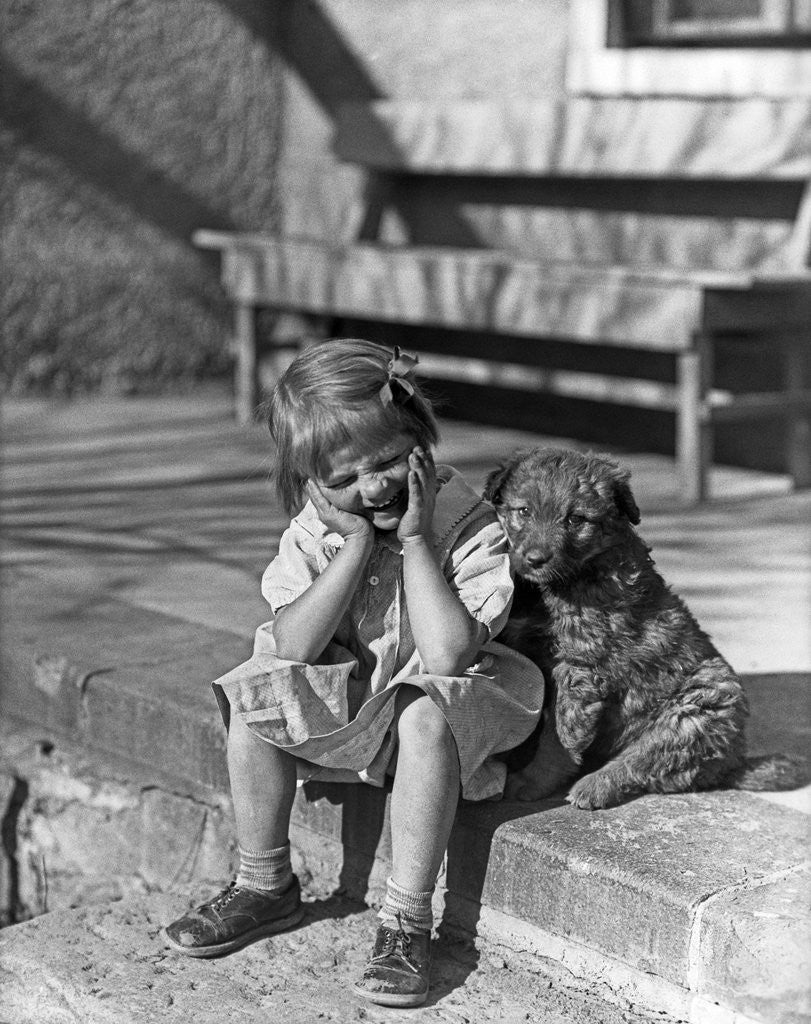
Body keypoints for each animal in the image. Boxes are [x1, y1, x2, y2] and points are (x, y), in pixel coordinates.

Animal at [485, 446, 782, 806]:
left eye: (576, 519)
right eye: (524, 511)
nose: (536, 559)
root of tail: (734, 763)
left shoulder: (579, 667)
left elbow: (560, 735)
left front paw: (532, 780)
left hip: (698, 706)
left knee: (650, 762)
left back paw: (595, 785)